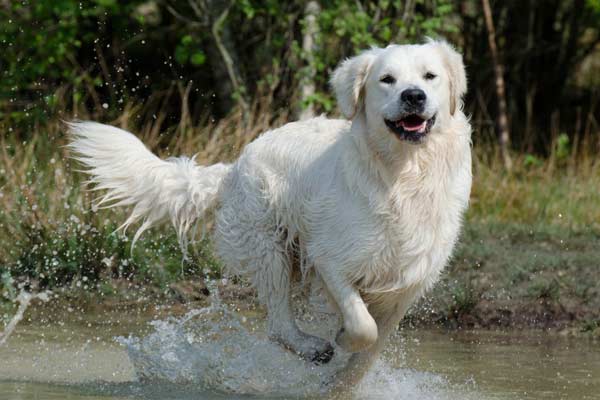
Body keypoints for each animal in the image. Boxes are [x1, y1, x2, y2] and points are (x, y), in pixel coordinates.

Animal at [70, 39, 472, 386]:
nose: (413, 96)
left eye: (430, 76)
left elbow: (369, 351)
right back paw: (312, 347)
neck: (403, 175)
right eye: (387, 79)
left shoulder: (409, 284)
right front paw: (340, 340)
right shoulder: (329, 258)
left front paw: (340, 384)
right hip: (269, 247)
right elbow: (363, 327)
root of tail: (233, 168)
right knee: (278, 324)